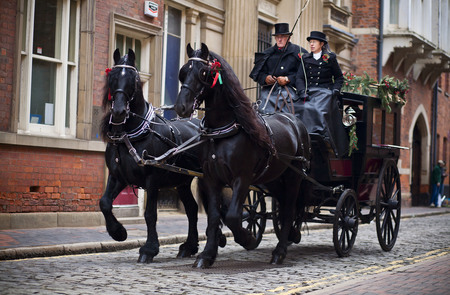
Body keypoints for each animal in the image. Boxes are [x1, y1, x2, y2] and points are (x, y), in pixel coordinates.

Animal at [100, 48, 204, 264]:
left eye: (132, 79)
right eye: (112, 77)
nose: (119, 111)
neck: (131, 135)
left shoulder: (152, 178)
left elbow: (150, 214)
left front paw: (149, 249)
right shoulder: (118, 176)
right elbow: (104, 203)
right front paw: (118, 232)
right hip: (182, 181)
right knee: (191, 208)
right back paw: (189, 246)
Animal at [174, 44, 312, 268]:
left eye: (203, 73)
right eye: (183, 71)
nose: (181, 107)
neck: (222, 132)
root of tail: (294, 120)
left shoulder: (242, 178)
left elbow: (232, 216)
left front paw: (247, 238)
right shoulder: (211, 179)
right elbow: (214, 217)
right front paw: (206, 255)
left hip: (294, 176)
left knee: (290, 209)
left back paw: (279, 252)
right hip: (274, 179)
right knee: (283, 208)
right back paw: (290, 235)